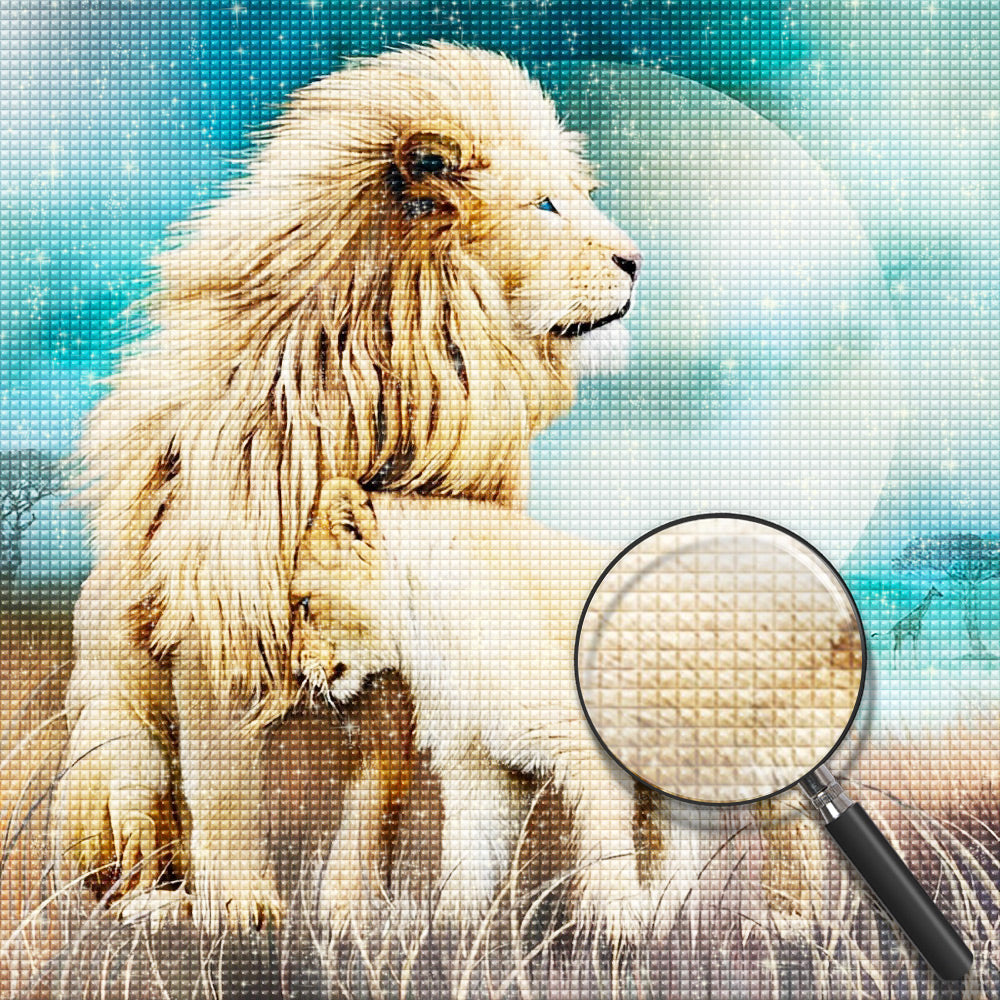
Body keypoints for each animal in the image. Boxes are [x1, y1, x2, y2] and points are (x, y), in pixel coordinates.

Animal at [55, 41, 640, 934]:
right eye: (544, 205)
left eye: (579, 198)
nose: (637, 261)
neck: (404, 370)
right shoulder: (219, 600)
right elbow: (222, 781)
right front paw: (244, 913)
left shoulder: (414, 619)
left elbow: (383, 778)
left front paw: (354, 912)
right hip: (113, 741)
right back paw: (159, 906)